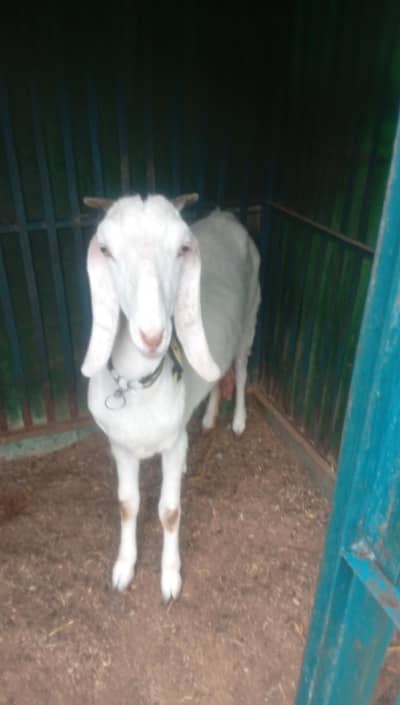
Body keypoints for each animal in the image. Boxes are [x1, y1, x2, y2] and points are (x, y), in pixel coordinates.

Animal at [81, 193, 261, 601]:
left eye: (182, 248)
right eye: (105, 249)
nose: (152, 336)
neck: (137, 385)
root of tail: (226, 217)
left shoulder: (172, 441)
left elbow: (169, 511)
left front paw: (169, 578)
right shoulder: (121, 446)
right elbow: (128, 504)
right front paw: (123, 569)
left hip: (251, 317)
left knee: (241, 369)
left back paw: (238, 421)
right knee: (216, 376)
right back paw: (208, 420)